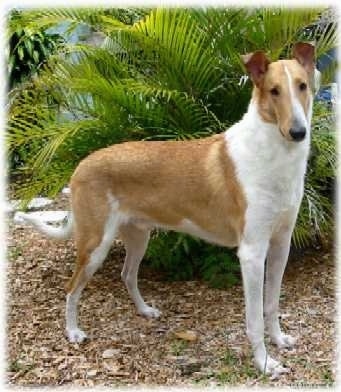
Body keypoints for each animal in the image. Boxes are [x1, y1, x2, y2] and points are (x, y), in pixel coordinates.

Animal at [17, 43, 316, 376]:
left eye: (302, 86)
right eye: (274, 91)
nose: (298, 132)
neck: (274, 154)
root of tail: (81, 164)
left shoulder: (280, 244)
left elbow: (272, 303)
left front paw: (279, 340)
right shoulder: (251, 253)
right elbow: (254, 319)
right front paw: (264, 363)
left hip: (138, 237)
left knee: (126, 274)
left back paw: (145, 310)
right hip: (96, 244)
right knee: (72, 287)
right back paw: (73, 332)